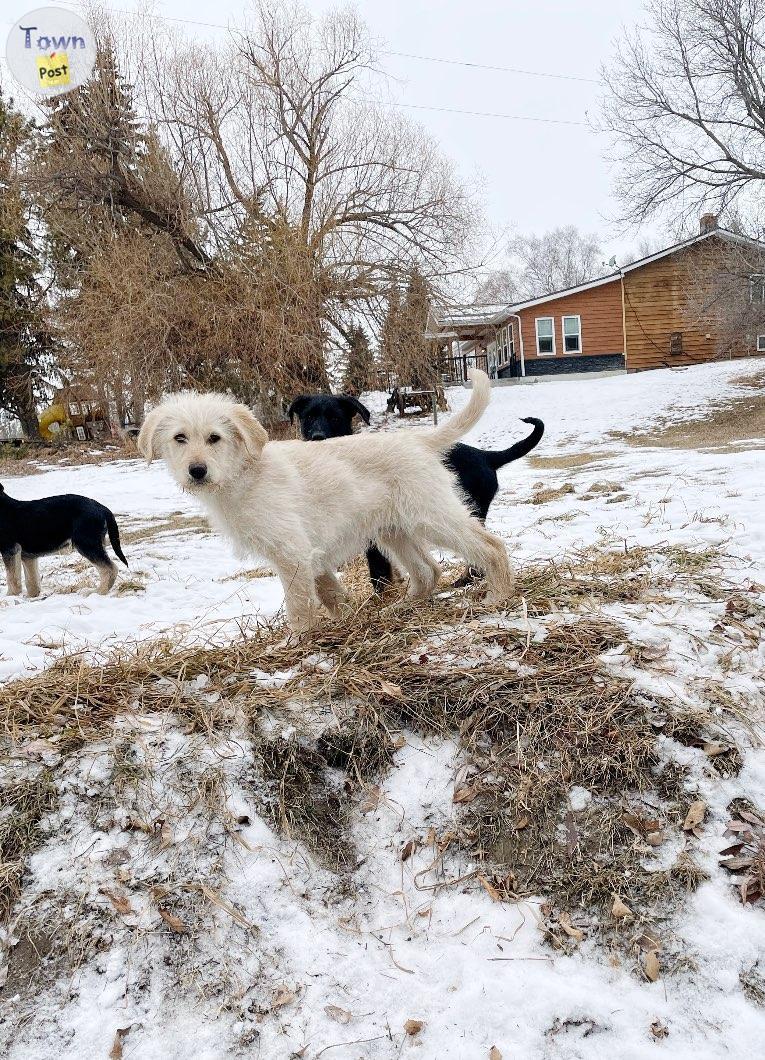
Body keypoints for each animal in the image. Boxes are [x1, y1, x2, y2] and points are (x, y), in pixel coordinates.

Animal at [0, 483, 128, 597]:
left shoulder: (10, 549)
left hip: (86, 544)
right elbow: (32, 581)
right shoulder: (27, 556)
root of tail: (102, 508)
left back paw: (97, 592)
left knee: (110, 569)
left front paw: (11, 596)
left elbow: (12, 578)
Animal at [138, 368, 512, 631]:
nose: (197, 471)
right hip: (393, 530)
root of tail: (418, 440)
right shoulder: (309, 555)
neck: (244, 474)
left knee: (490, 546)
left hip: (431, 516)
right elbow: (331, 594)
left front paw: (296, 641)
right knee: (428, 570)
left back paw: (499, 595)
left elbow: (300, 605)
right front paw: (344, 620)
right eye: (179, 438)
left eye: (214, 438)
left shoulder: (292, 555)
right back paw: (403, 607)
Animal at [286, 392, 542, 589]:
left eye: (334, 418)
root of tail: (486, 456)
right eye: (308, 417)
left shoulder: (373, 538)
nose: (317, 437)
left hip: (457, 512)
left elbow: (379, 574)